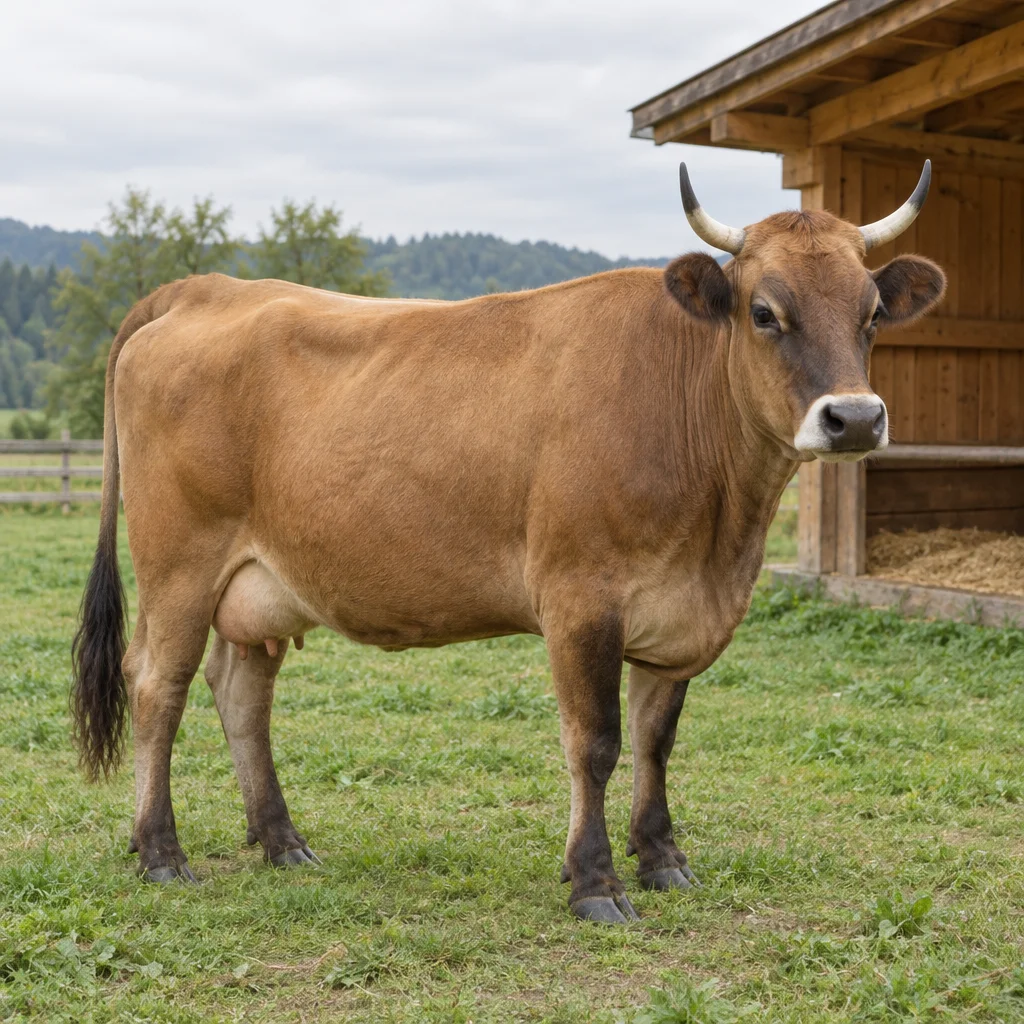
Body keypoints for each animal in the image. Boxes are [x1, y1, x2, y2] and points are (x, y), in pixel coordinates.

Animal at [71, 162, 944, 924]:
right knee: (157, 686)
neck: (719, 533)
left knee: (242, 692)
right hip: (180, 562)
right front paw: (595, 882)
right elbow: (595, 742)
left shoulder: (680, 615)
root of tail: (207, 287)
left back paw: (283, 841)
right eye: (765, 312)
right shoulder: (579, 598)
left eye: (871, 313)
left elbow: (657, 740)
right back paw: (161, 852)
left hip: (258, 582)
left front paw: (662, 860)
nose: (855, 418)